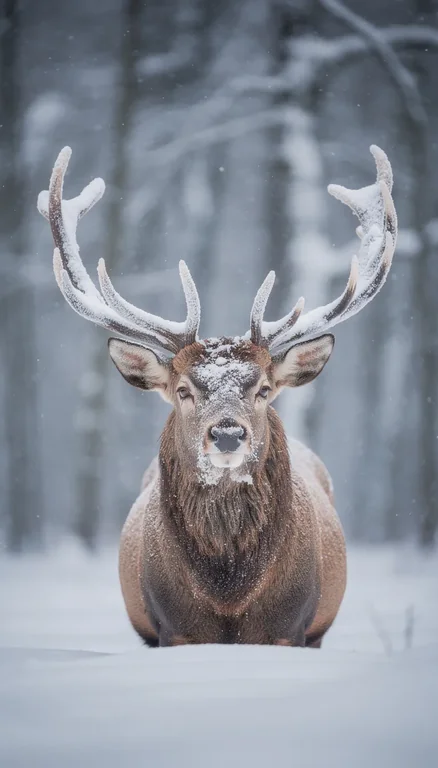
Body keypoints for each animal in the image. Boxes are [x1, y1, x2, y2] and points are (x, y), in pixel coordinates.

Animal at [38, 145, 397, 648]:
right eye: (183, 390)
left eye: (263, 389)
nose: (227, 434)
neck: (229, 595)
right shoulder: (175, 629)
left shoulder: (289, 629)